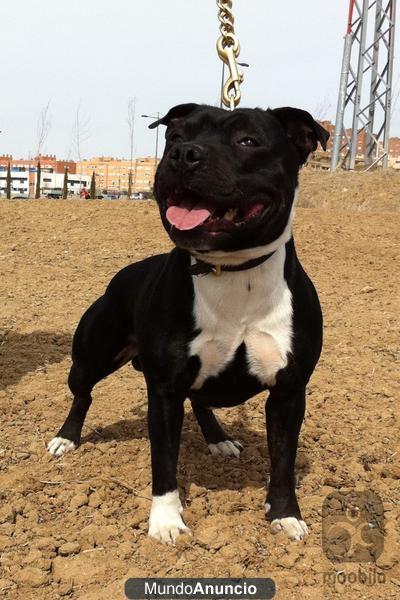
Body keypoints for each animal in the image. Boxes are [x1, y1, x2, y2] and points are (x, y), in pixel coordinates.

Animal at [47, 103, 328, 544]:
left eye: (248, 140)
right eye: (176, 138)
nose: (184, 154)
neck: (231, 271)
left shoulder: (289, 391)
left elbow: (283, 461)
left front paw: (285, 515)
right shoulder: (164, 393)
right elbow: (164, 462)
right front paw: (165, 521)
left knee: (201, 400)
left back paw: (219, 439)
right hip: (90, 359)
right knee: (83, 395)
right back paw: (66, 438)